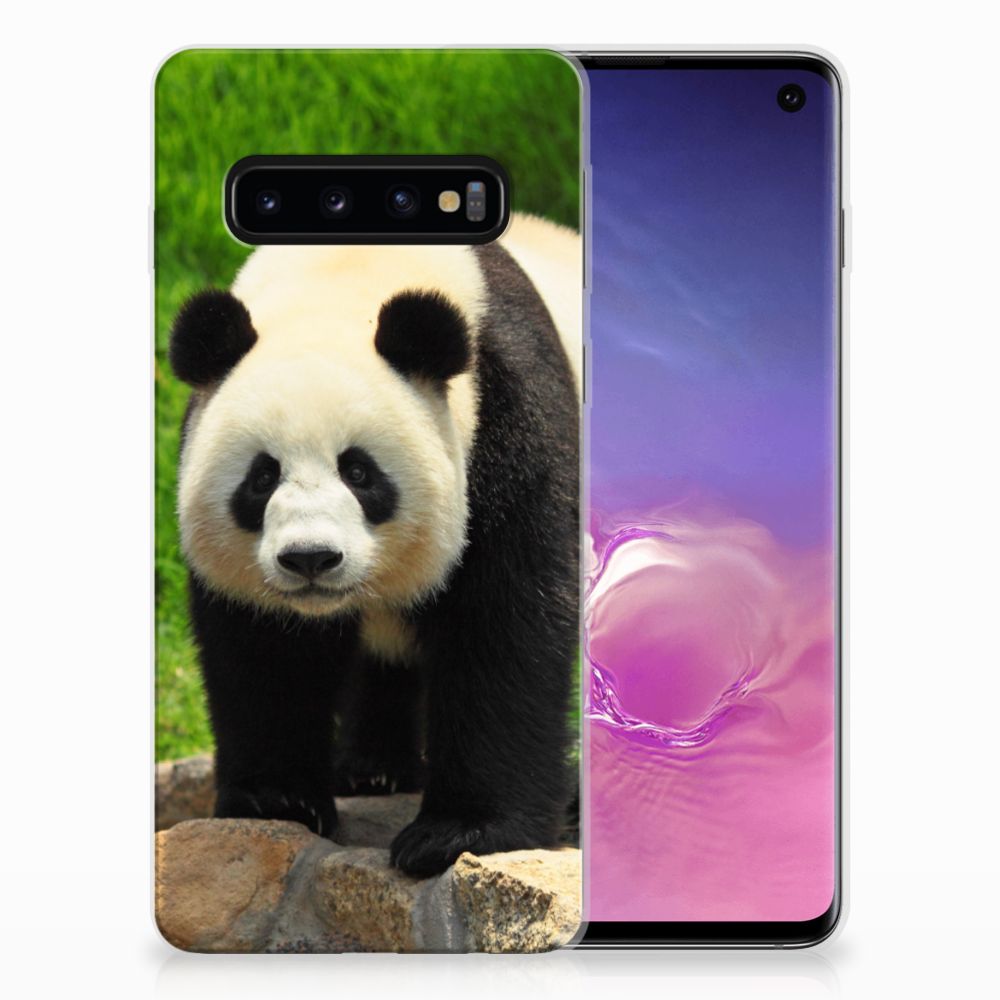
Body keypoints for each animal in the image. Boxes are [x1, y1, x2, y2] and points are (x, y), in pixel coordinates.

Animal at [169, 214, 581, 877]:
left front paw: (458, 833)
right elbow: (265, 649)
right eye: (262, 476)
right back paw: (371, 769)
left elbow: (505, 621)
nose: (310, 558)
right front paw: (277, 800)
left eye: (359, 472)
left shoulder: (509, 416)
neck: (346, 270)